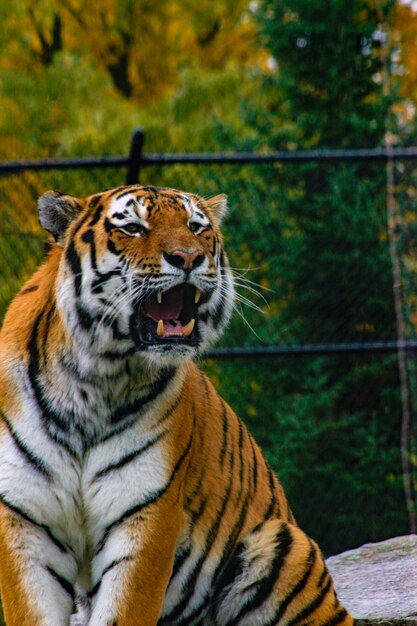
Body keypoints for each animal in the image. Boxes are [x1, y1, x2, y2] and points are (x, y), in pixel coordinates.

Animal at [0, 185, 352, 624]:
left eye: (196, 227)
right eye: (133, 228)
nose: (188, 257)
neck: (94, 379)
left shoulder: (146, 515)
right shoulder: (24, 519)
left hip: (280, 545)